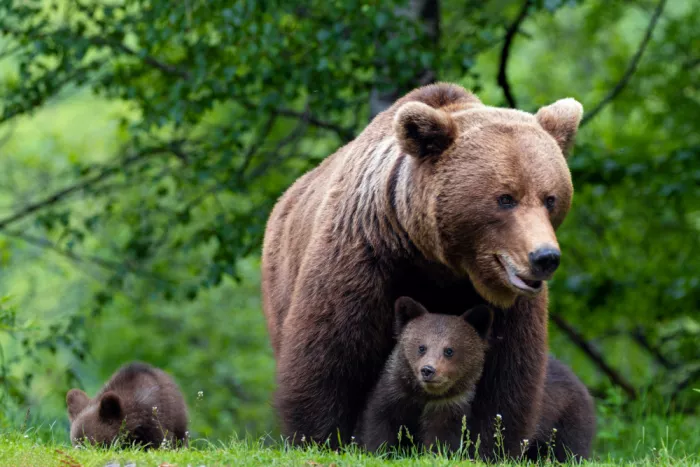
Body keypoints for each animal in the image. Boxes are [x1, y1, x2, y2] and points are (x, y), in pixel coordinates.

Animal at [358, 296, 493, 454]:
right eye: (422, 347)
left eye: (449, 350)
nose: (428, 370)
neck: (425, 395)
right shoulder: (393, 394)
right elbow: (378, 424)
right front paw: (377, 450)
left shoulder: (448, 406)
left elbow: (441, 439)